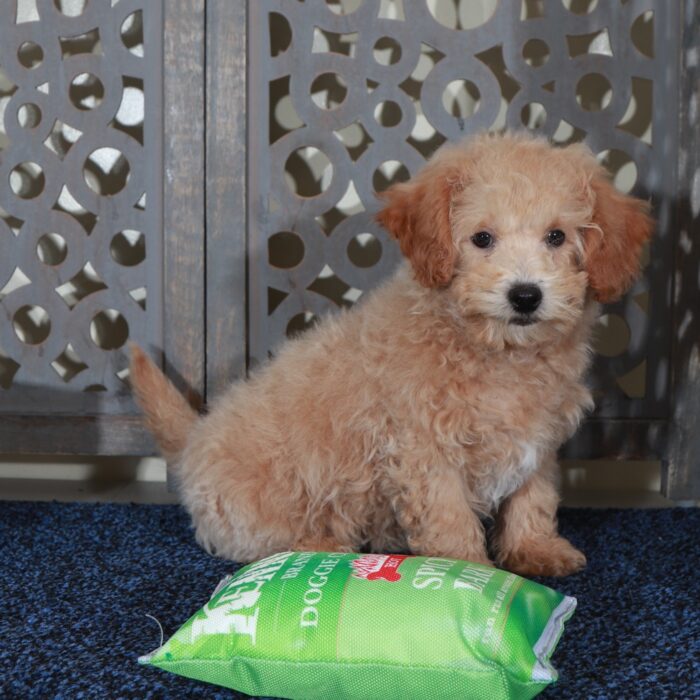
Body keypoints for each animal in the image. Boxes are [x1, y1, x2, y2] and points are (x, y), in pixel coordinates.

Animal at [130, 130, 652, 576]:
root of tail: (194, 440)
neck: (497, 351)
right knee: (267, 540)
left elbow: (533, 498)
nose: (525, 295)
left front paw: (535, 549)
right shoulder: (425, 448)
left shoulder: (536, 442)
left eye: (557, 237)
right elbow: (449, 516)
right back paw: (323, 546)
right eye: (482, 239)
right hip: (261, 503)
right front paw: (469, 571)